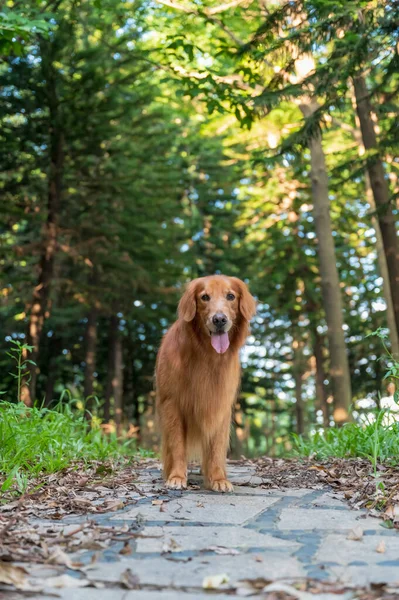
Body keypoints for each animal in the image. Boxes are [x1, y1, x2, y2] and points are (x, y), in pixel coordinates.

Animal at [156, 276, 256, 492]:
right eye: (204, 297)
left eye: (230, 296)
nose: (219, 320)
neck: (206, 356)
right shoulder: (172, 404)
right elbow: (177, 444)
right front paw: (177, 476)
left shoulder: (220, 404)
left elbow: (216, 447)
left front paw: (218, 478)